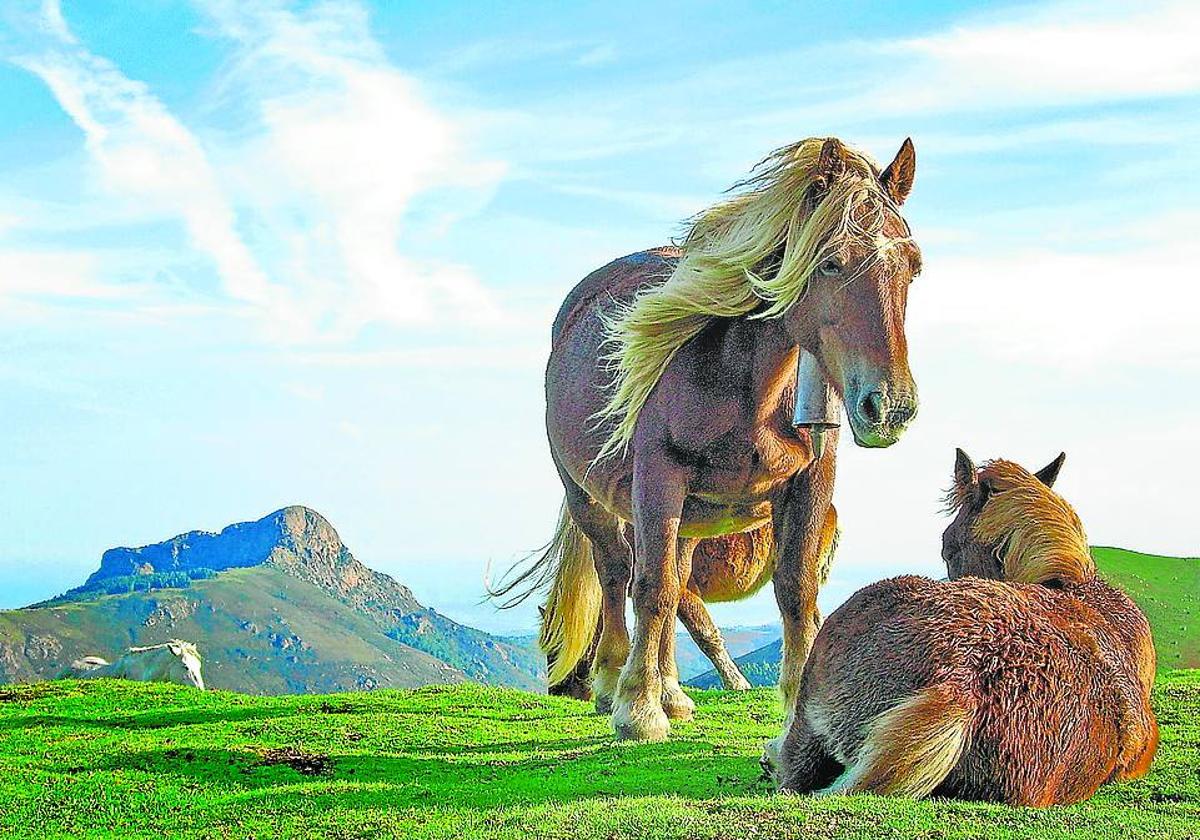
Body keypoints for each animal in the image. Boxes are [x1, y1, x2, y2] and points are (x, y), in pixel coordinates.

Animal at [492, 134, 921, 739]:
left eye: (913, 267)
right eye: (831, 262)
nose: (889, 408)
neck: (748, 388)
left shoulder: (812, 482)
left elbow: (796, 591)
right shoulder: (658, 480)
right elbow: (650, 588)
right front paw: (639, 711)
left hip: (695, 518)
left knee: (674, 581)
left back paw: (672, 692)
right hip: (591, 498)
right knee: (618, 572)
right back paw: (615, 684)